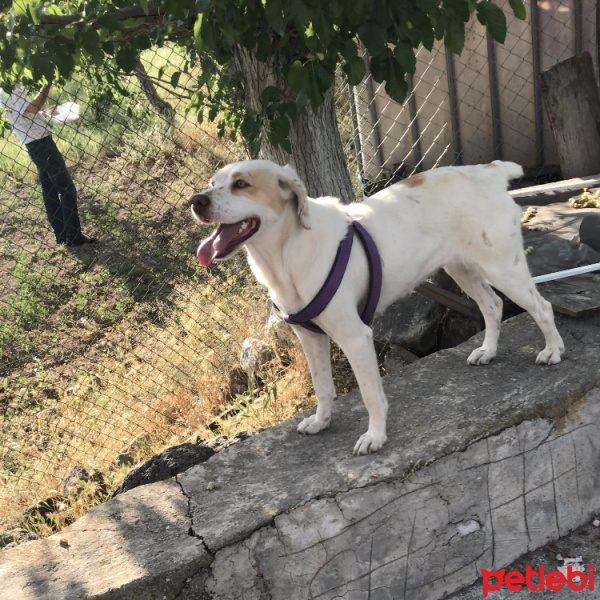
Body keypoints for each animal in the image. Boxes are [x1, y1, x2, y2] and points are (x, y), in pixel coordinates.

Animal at [190, 159, 564, 454]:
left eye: (241, 184)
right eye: (212, 183)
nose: (195, 201)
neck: (288, 253)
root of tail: (490, 170)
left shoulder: (355, 337)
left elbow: (370, 394)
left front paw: (375, 436)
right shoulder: (310, 337)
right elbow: (323, 387)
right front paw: (321, 421)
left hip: (503, 268)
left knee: (542, 306)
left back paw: (553, 351)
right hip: (462, 268)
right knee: (493, 305)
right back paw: (487, 351)